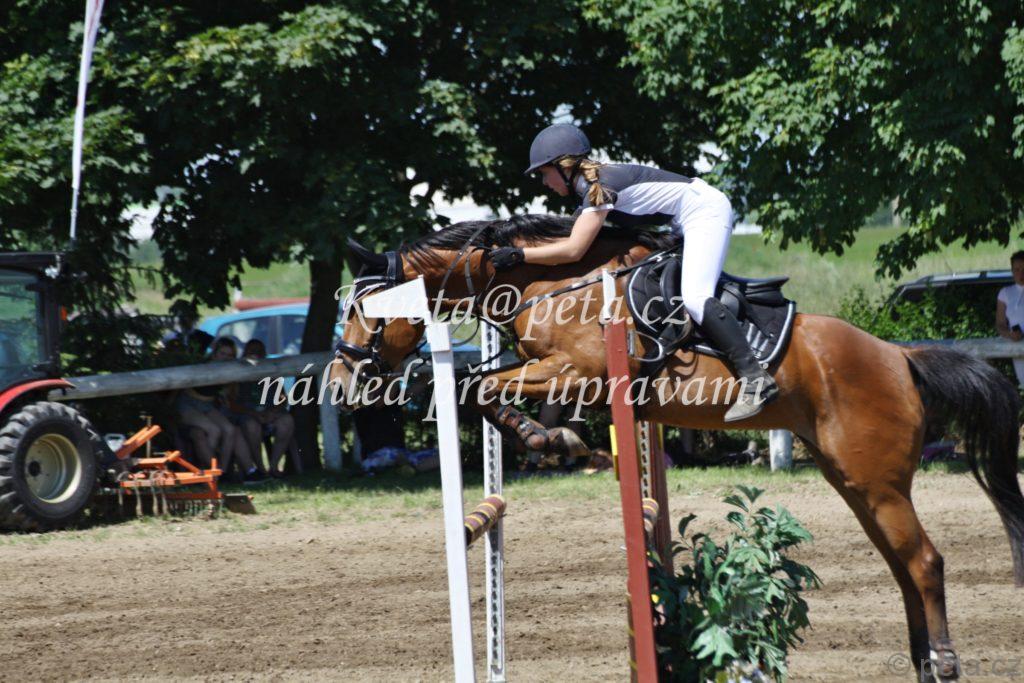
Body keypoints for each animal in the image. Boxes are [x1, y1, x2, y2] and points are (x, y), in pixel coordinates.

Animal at [331, 214, 1024, 681]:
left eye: (361, 310)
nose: (339, 382)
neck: (548, 283)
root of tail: (900, 357)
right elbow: (478, 387)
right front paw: (555, 442)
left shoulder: (579, 370)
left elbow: (477, 385)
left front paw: (550, 439)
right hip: (855, 481)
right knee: (903, 566)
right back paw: (921, 660)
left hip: (875, 481)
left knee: (925, 562)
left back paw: (945, 661)